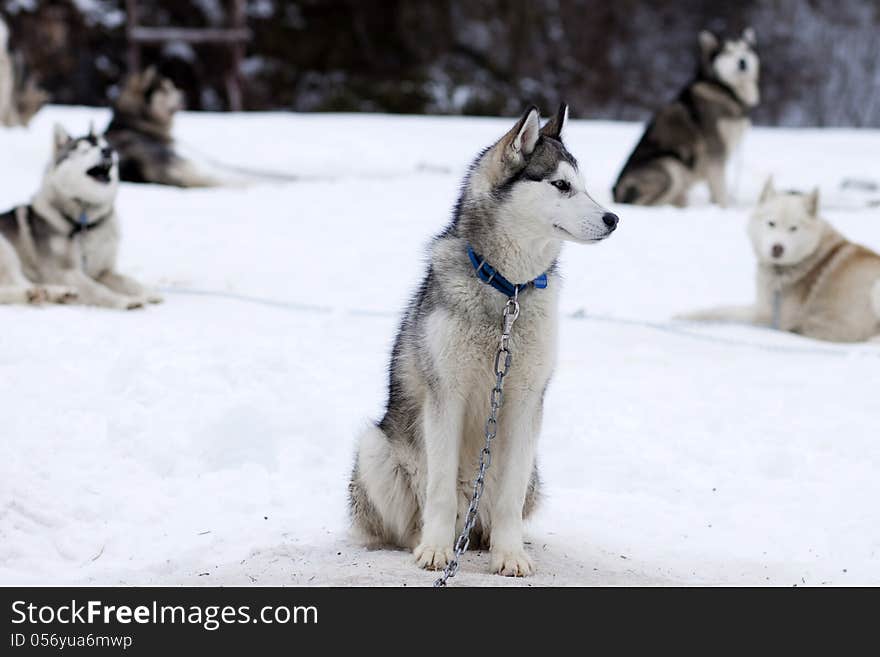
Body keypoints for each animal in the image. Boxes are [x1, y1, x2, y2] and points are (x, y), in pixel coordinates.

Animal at [0, 125, 162, 310]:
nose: (108, 151)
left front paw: (149, 293)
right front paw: (123, 300)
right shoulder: (63, 272)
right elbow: (96, 289)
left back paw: (56, 294)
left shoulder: (103, 272)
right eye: (84, 151)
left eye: (103, 145)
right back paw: (40, 294)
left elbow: (128, 281)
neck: (86, 222)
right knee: (17, 285)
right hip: (6, 250)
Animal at [350, 105, 620, 576]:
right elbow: (439, 489)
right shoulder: (446, 395)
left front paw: (510, 554)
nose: (614, 219)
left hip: (532, 473)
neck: (508, 290)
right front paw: (436, 550)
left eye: (584, 186)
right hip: (374, 449)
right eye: (561, 185)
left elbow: (510, 496)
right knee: (411, 519)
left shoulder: (527, 399)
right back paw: (425, 541)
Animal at [616, 28, 760, 206]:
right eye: (727, 51)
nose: (742, 62)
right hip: (671, 167)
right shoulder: (715, 150)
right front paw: (723, 208)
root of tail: (615, 192)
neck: (725, 91)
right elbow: (720, 192)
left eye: (746, 49)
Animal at [684, 179, 880, 344]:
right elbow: (717, 308)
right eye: (771, 223)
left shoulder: (767, 315)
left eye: (793, 228)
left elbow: (725, 311)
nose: (777, 248)